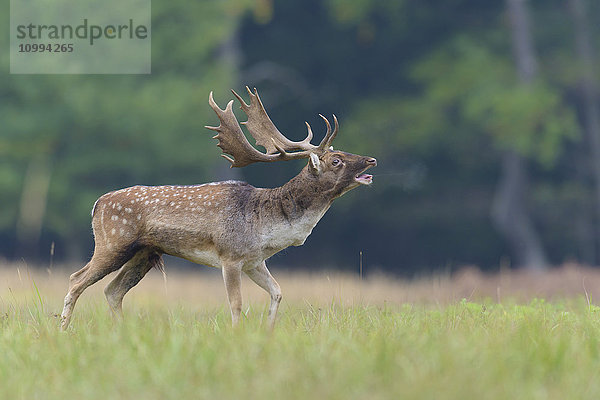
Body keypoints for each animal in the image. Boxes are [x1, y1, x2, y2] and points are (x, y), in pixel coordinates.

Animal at [62, 86, 380, 328]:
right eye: (336, 160)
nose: (371, 160)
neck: (266, 227)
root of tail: (97, 204)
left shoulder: (255, 261)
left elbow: (277, 293)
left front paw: (269, 331)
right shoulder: (230, 255)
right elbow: (236, 304)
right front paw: (237, 334)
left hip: (145, 253)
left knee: (112, 290)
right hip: (113, 242)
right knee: (76, 279)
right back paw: (64, 330)